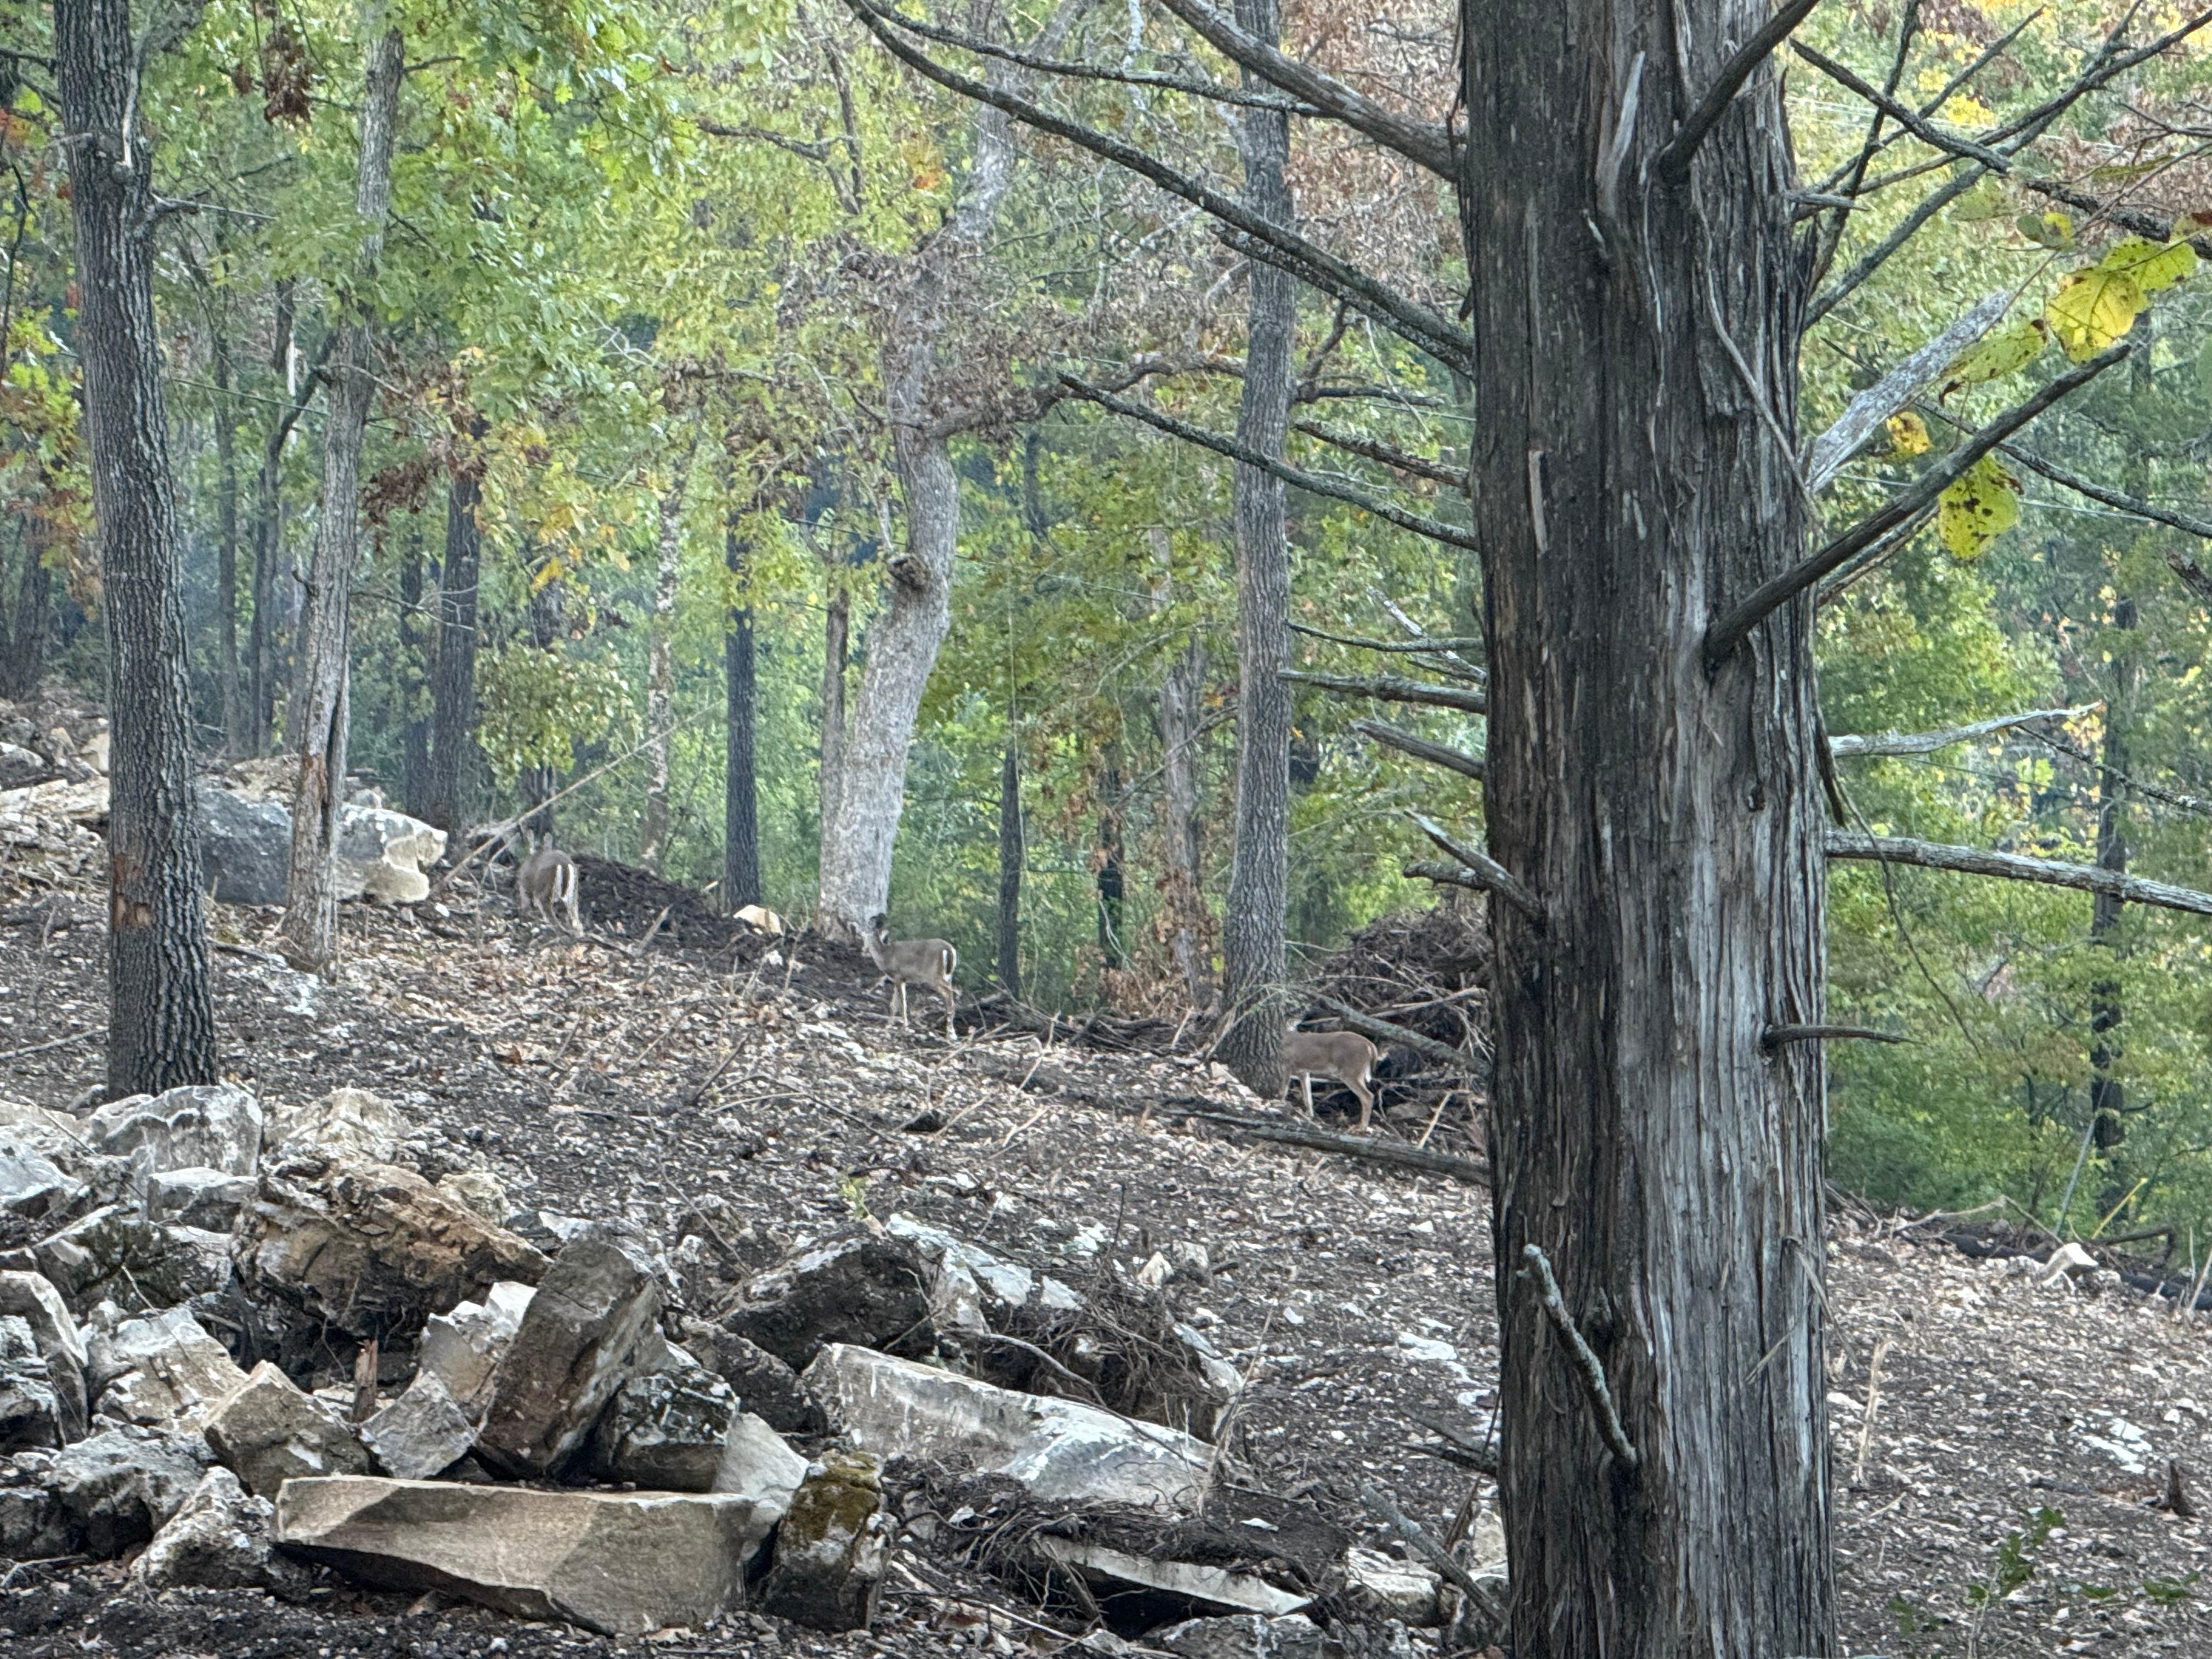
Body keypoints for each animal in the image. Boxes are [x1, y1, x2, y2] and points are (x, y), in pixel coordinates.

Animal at [515, 836, 581, 934]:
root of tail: (564, 866)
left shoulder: (525, 885)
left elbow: (526, 902)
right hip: (573, 893)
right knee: (575, 917)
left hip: (545, 891)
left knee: (549, 912)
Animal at [864, 913, 958, 1038]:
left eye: (870, 922)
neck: (885, 956)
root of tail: (949, 949)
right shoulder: (899, 979)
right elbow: (893, 1005)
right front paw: (889, 1025)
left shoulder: (898, 976)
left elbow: (903, 1004)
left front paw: (905, 1028)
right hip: (948, 976)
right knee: (951, 995)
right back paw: (951, 1031)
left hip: (934, 976)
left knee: (950, 997)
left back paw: (951, 1034)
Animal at [1282, 1025, 1380, 1133]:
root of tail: (1370, 1045)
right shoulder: (1303, 1072)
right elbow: (1308, 1097)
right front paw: (1309, 1116)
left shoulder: (1287, 1065)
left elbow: (1283, 1090)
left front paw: (1280, 1103)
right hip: (1358, 1074)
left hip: (1350, 1073)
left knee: (1367, 1096)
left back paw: (1362, 1127)